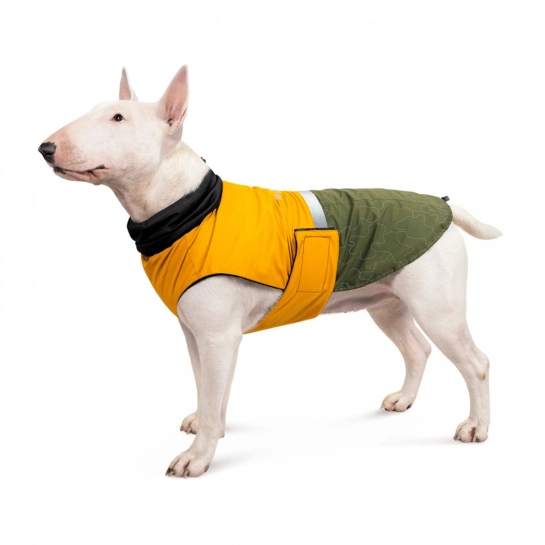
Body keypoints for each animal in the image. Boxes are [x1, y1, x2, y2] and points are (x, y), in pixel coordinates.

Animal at [38, 65, 501, 478]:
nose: (45, 148)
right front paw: (208, 425)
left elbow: (212, 394)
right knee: (417, 350)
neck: (189, 207)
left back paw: (476, 426)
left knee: (475, 362)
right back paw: (404, 399)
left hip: (437, 309)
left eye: (118, 118)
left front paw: (196, 458)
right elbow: (208, 388)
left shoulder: (217, 335)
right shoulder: (197, 332)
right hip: (386, 302)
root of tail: (443, 205)